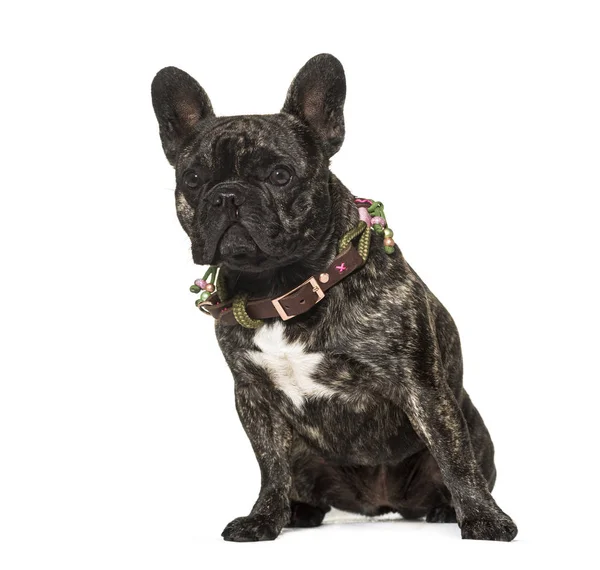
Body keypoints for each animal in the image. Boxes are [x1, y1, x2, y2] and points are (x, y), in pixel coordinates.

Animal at [151, 54, 520, 540]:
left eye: (280, 175)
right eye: (193, 179)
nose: (227, 196)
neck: (279, 286)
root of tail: (380, 503)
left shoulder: (422, 389)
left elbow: (455, 458)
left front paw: (484, 519)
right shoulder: (253, 397)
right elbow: (271, 466)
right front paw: (263, 518)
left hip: (474, 428)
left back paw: (447, 508)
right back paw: (297, 511)